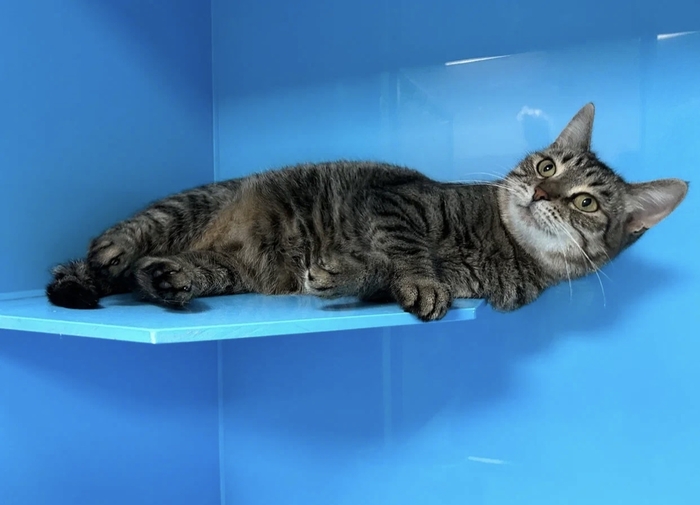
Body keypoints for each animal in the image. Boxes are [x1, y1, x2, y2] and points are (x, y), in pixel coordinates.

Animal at [46, 103, 688, 321]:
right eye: (546, 166)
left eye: (585, 202)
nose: (542, 194)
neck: (501, 243)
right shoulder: (398, 200)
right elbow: (405, 249)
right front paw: (420, 280)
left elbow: (378, 270)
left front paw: (350, 273)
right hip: (183, 209)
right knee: (116, 243)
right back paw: (102, 261)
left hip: (225, 270)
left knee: (156, 273)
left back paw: (163, 277)